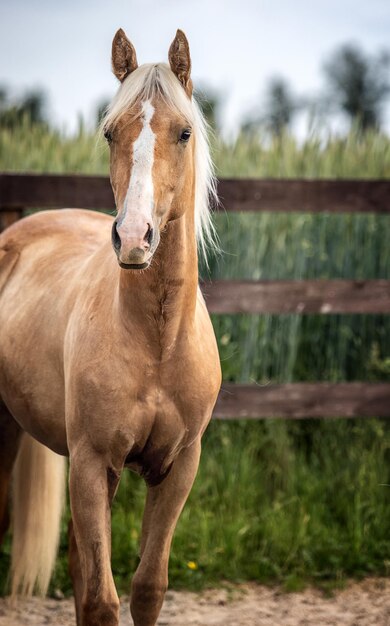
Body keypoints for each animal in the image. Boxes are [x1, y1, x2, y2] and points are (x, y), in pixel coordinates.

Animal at [0, 28, 221, 624]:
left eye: (184, 132)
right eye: (108, 133)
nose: (135, 237)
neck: (156, 343)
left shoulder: (178, 467)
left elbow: (146, 587)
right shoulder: (93, 464)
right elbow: (102, 600)